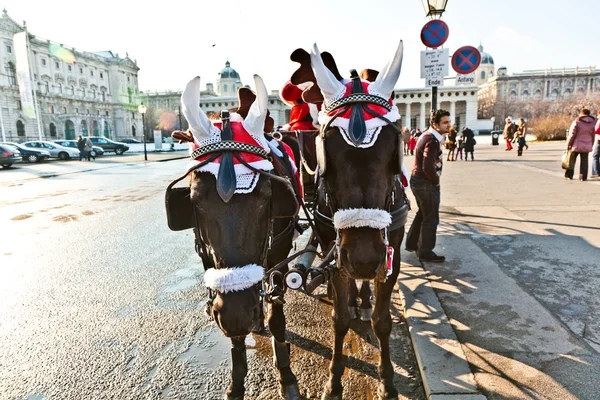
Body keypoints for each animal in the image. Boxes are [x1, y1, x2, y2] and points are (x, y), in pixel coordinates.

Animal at [166, 74, 302, 396]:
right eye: (194, 199)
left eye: (267, 195)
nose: (238, 315)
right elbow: (236, 338)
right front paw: (237, 380)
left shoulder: (279, 257)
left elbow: (277, 316)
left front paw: (286, 373)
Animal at [288, 41, 410, 400]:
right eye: (326, 148)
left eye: (395, 146)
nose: (364, 259)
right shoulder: (335, 251)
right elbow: (339, 317)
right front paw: (334, 380)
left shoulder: (390, 255)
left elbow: (383, 321)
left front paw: (388, 381)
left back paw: (364, 300)